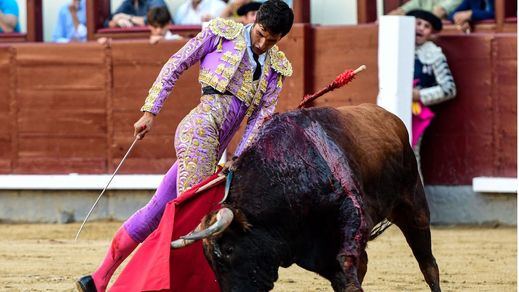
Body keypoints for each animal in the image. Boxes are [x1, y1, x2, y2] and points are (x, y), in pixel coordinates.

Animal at [173, 105, 440, 292]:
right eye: (209, 261)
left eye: (229, 249)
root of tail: (392, 118)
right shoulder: (317, 251)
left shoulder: (350, 221)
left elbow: (348, 270)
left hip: (413, 207)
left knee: (428, 264)